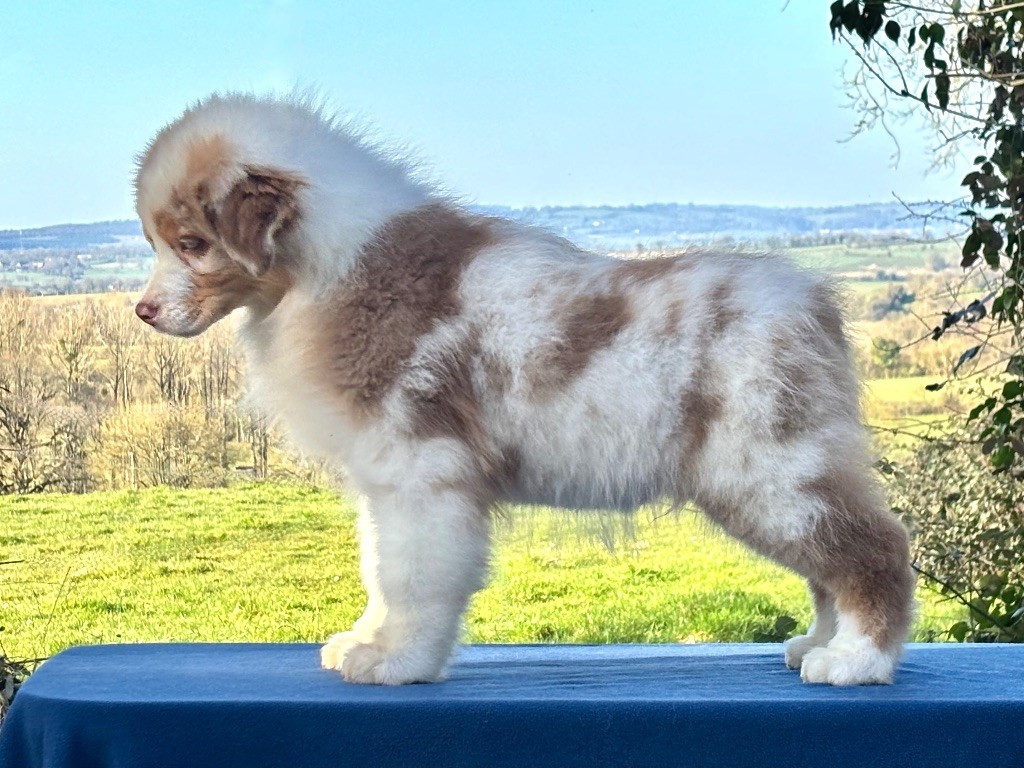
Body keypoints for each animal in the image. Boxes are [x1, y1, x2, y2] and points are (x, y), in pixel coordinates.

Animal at [133, 93, 914, 686]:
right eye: (154, 240)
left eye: (192, 244)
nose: (141, 312)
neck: (331, 267)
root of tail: (814, 300)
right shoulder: (385, 481)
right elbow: (380, 568)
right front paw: (368, 641)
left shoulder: (422, 468)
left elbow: (412, 576)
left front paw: (399, 662)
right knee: (829, 561)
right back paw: (818, 643)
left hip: (768, 468)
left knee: (873, 548)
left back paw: (856, 661)